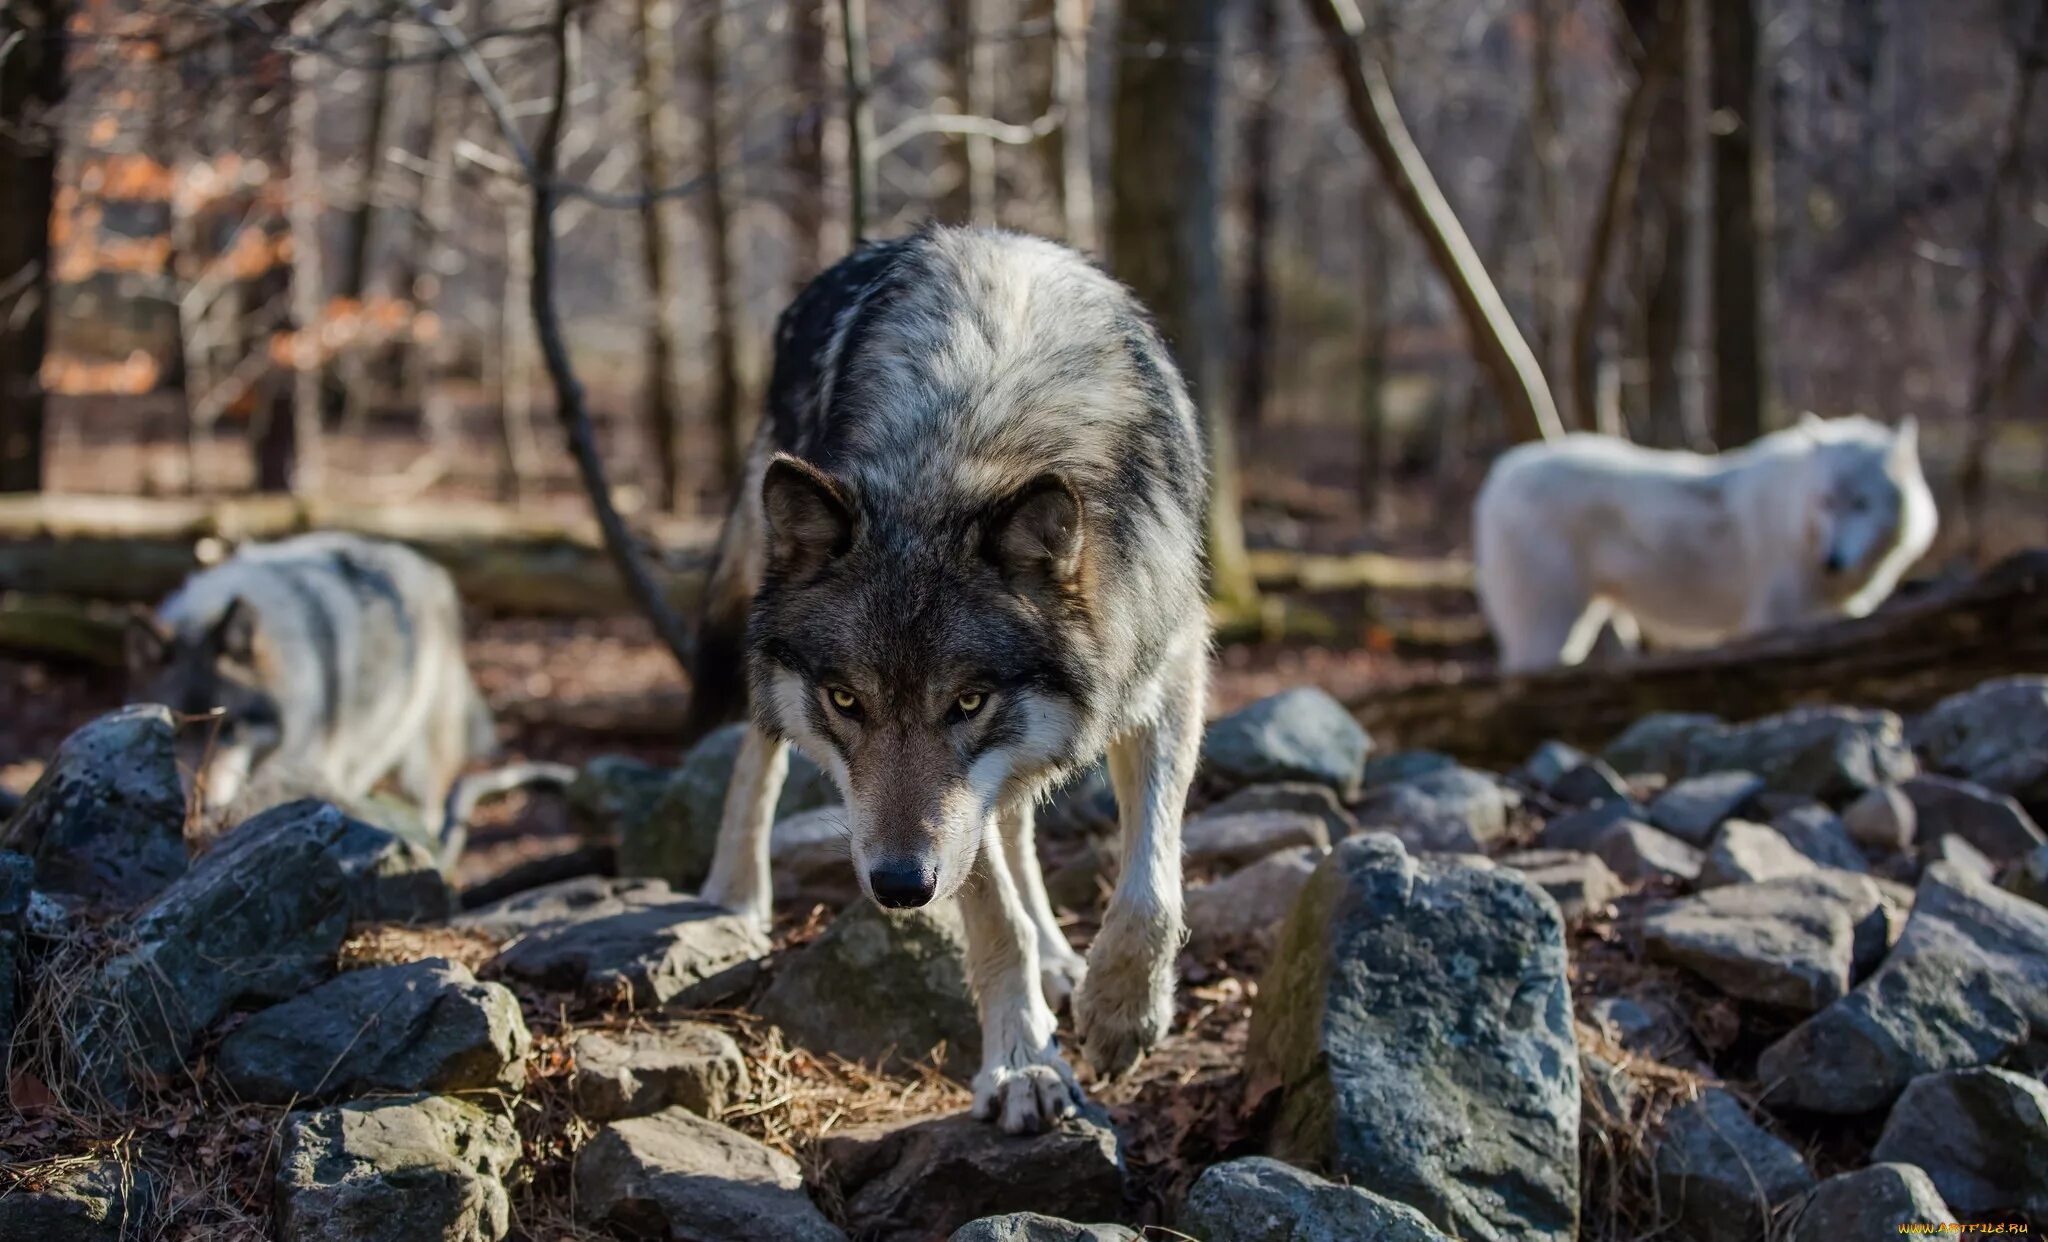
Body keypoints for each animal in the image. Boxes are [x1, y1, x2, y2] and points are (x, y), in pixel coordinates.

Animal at [688, 226, 1204, 1139]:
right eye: (846, 701)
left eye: (967, 702)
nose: (898, 888)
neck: (973, 442)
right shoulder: (945, 824)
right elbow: (995, 918)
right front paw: (1024, 1064)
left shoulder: (1169, 670)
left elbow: (1151, 888)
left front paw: (1119, 1013)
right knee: (758, 750)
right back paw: (736, 895)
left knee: (1020, 824)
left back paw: (1066, 961)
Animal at [1474, 416, 1933, 672]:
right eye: (1826, 501)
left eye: (1861, 503)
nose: (1832, 561)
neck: (1796, 517)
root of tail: (1501, 473)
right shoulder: (1772, 621)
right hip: (1550, 628)